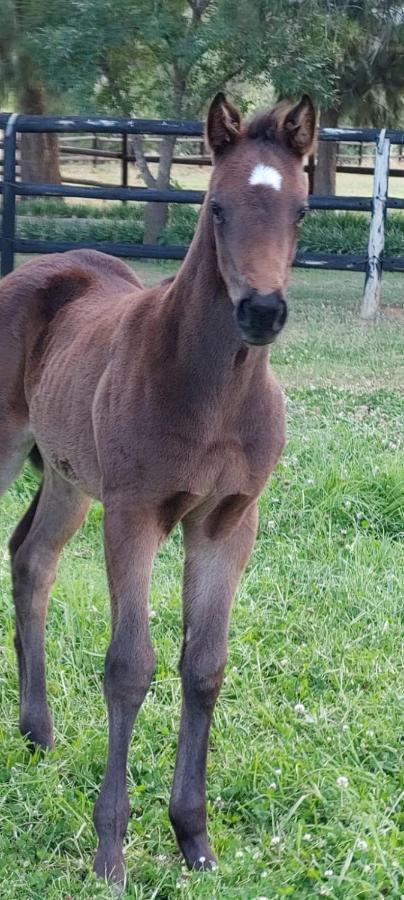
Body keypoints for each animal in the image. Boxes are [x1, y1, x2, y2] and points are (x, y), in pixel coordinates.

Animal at [0, 95, 316, 884]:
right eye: (217, 207)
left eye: (301, 209)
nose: (261, 312)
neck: (214, 395)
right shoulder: (135, 515)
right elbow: (129, 666)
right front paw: (110, 850)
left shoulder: (227, 523)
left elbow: (203, 668)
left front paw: (193, 838)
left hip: (68, 478)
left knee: (32, 560)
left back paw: (37, 731)